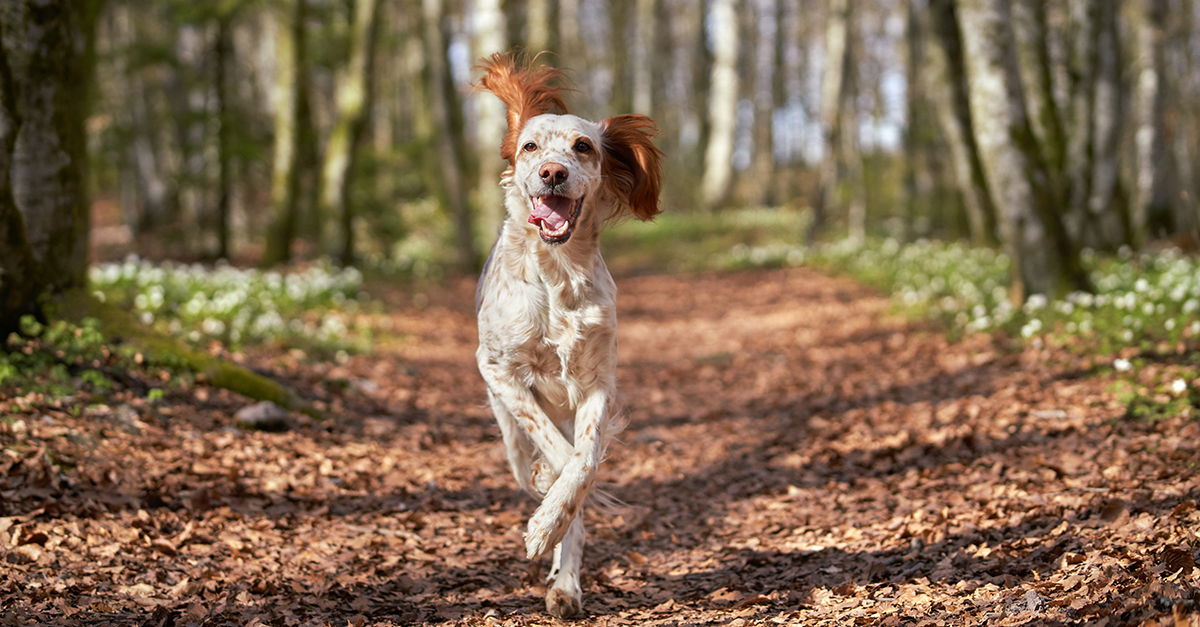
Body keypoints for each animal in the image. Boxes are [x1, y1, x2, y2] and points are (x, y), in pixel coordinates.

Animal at [470, 52, 667, 614]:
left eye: (583, 146)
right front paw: (545, 516)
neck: (558, 276)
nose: (552, 173)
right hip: (506, 427)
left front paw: (552, 523)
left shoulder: (597, 384)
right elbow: (559, 456)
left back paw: (565, 584)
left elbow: (584, 463)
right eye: (530, 147)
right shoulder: (499, 370)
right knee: (531, 457)